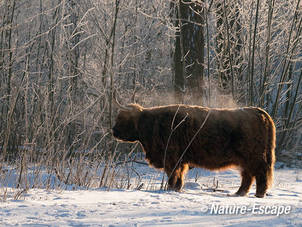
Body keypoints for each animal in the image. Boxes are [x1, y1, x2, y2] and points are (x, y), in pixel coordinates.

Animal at [111, 102, 276, 198]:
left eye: (121, 119)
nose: (113, 131)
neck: (150, 122)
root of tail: (259, 112)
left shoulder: (171, 158)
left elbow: (173, 175)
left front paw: (170, 188)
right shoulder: (180, 160)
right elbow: (179, 176)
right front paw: (177, 189)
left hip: (254, 158)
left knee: (260, 175)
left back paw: (258, 194)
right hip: (246, 160)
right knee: (248, 176)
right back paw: (239, 193)